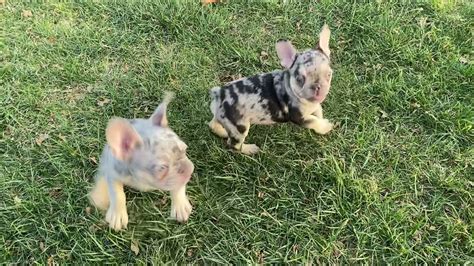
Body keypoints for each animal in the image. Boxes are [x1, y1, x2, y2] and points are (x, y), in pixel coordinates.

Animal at [88, 92, 193, 230]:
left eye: (185, 149)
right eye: (162, 168)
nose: (187, 169)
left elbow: (178, 186)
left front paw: (180, 205)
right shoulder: (113, 171)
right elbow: (117, 193)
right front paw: (117, 214)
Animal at [209, 24, 336, 155]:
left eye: (329, 74)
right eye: (299, 79)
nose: (317, 86)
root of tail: (218, 94)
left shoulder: (314, 106)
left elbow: (318, 112)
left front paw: (321, 118)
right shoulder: (299, 117)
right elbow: (314, 121)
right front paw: (325, 127)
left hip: (224, 118)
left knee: (213, 124)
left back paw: (223, 132)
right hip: (239, 127)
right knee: (234, 146)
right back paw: (250, 149)